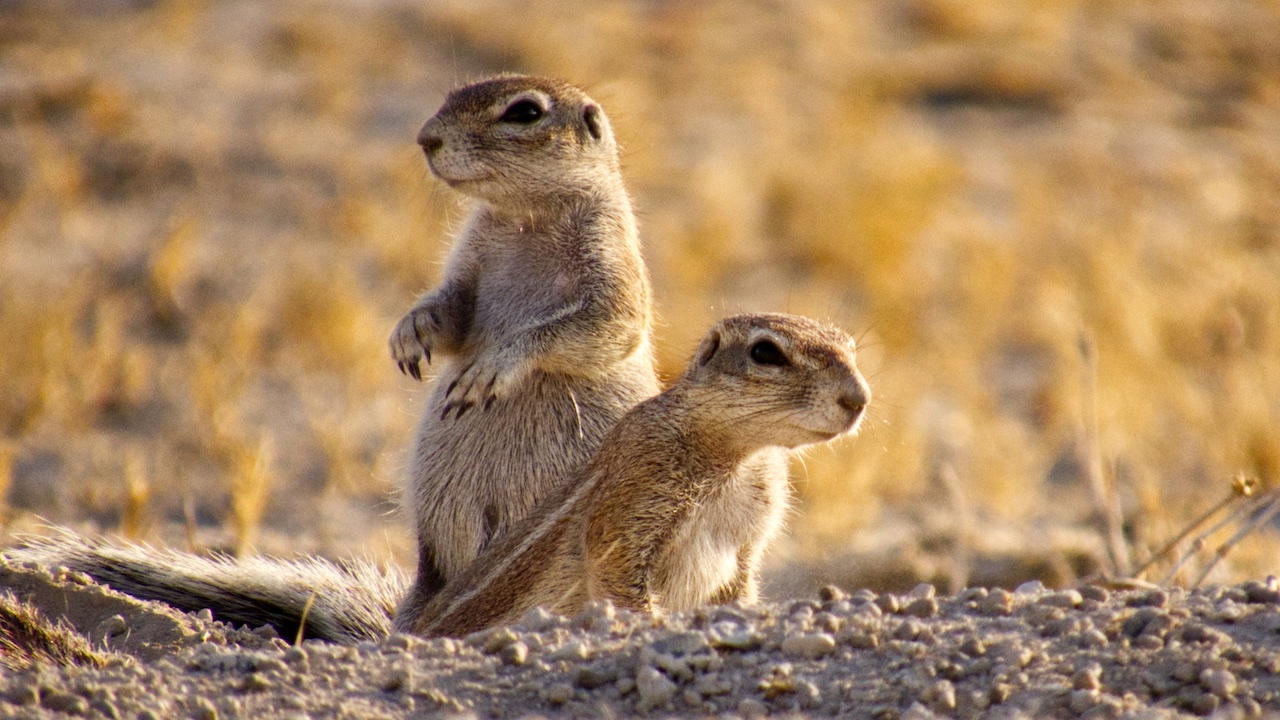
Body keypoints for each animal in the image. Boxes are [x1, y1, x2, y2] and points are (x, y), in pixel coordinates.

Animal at [384, 73, 655, 622]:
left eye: (525, 112)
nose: (426, 139)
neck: (527, 216)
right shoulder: (469, 262)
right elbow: (452, 311)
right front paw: (410, 331)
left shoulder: (611, 264)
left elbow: (600, 326)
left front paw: (490, 371)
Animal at [407, 311, 870, 635]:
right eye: (765, 353)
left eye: (850, 347)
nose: (858, 398)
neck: (736, 460)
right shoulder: (633, 500)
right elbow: (618, 580)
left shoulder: (746, 545)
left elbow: (738, 591)